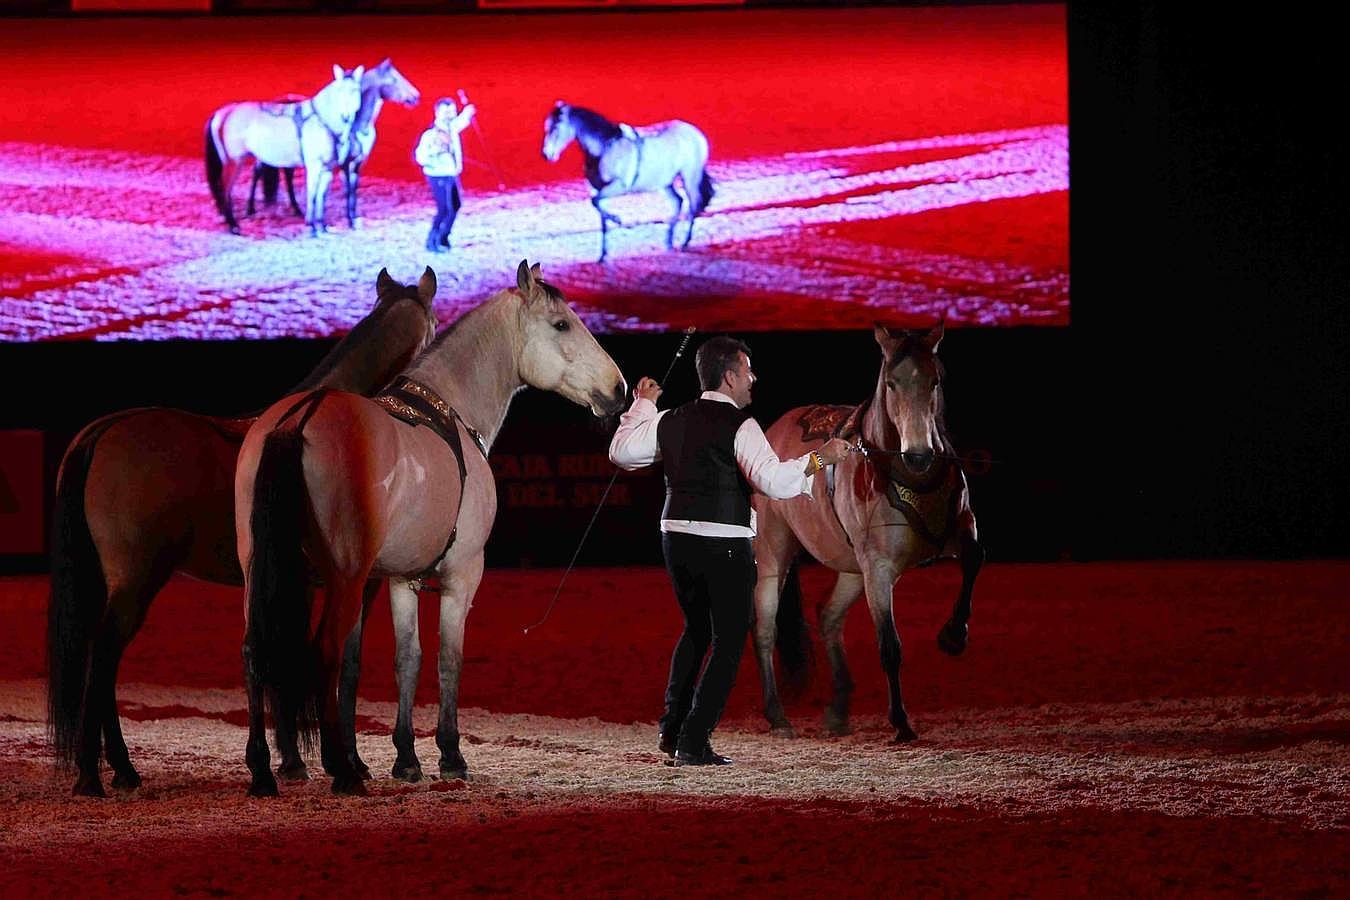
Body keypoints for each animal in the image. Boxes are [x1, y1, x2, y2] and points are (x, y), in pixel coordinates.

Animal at [46, 267, 437, 793]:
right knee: (103, 659)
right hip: (135, 580)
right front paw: (344, 762)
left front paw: (290, 761)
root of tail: (103, 431)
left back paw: (122, 770)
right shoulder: (355, 583)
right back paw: (95, 773)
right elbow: (340, 666)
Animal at [750, 323, 982, 744]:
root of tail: (775, 431)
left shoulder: (963, 527)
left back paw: (839, 708)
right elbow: (889, 645)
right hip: (775, 551)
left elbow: (973, 559)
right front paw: (901, 721)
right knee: (765, 627)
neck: (908, 477)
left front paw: (954, 636)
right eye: (890, 383)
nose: (919, 454)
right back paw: (777, 715)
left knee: (828, 616)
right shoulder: (879, 569)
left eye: (936, 380)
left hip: (851, 570)